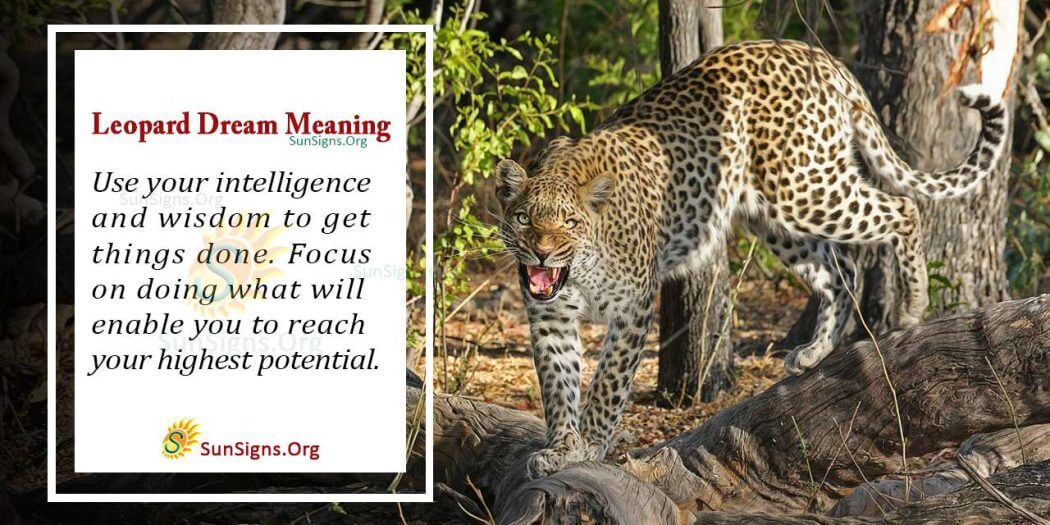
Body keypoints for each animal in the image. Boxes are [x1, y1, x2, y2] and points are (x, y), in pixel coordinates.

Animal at [495, 40, 1008, 478]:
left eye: (569, 222)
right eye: (523, 219)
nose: (541, 251)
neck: (577, 270)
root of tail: (820, 56)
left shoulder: (633, 308)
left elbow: (606, 385)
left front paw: (589, 444)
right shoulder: (549, 317)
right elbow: (557, 386)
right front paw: (561, 448)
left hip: (804, 188)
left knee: (902, 209)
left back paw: (911, 306)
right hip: (773, 217)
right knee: (841, 270)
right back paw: (815, 351)